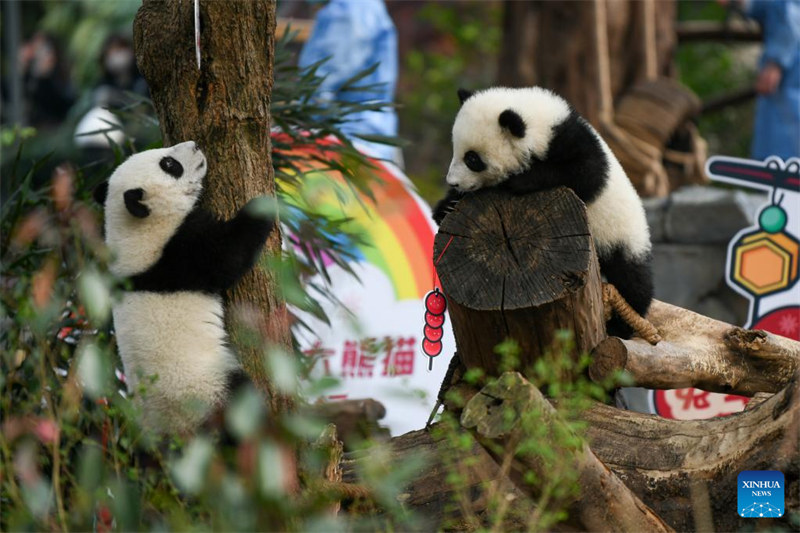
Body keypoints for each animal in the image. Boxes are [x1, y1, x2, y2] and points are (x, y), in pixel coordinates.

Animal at [93, 141, 275, 434]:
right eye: (169, 165)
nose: (195, 144)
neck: (133, 229)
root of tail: (177, 431)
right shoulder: (178, 255)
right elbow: (227, 257)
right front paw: (262, 205)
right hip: (204, 385)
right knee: (240, 404)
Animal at [433, 87, 653, 338]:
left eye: (472, 159)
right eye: (455, 150)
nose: (453, 182)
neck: (542, 122)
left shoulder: (573, 143)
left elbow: (586, 173)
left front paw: (518, 180)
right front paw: (447, 207)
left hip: (622, 234)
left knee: (632, 280)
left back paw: (621, 325)